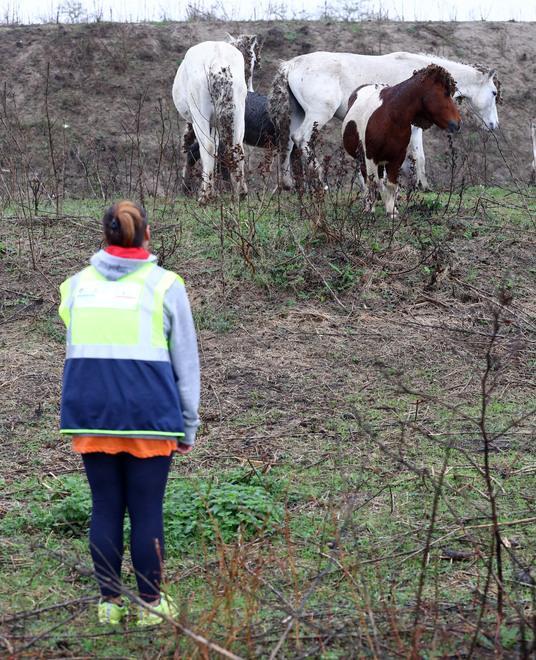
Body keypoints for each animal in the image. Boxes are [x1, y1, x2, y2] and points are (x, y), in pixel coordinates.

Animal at [172, 35, 259, 203]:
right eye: (252, 61)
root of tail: (219, 61)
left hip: (200, 115)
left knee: (208, 146)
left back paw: (205, 195)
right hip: (238, 115)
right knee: (237, 148)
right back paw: (241, 193)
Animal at [269, 51, 499, 190]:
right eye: (494, 93)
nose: (494, 125)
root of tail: (291, 65)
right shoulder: (412, 127)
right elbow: (417, 156)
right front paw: (419, 185)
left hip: (299, 114)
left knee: (289, 142)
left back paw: (289, 184)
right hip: (317, 115)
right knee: (302, 139)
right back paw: (321, 182)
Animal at [342, 65, 461, 217]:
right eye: (445, 93)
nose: (458, 123)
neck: (390, 116)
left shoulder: (397, 158)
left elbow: (391, 184)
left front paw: (392, 211)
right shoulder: (371, 157)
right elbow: (374, 182)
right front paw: (373, 208)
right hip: (364, 160)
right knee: (368, 180)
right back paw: (369, 205)